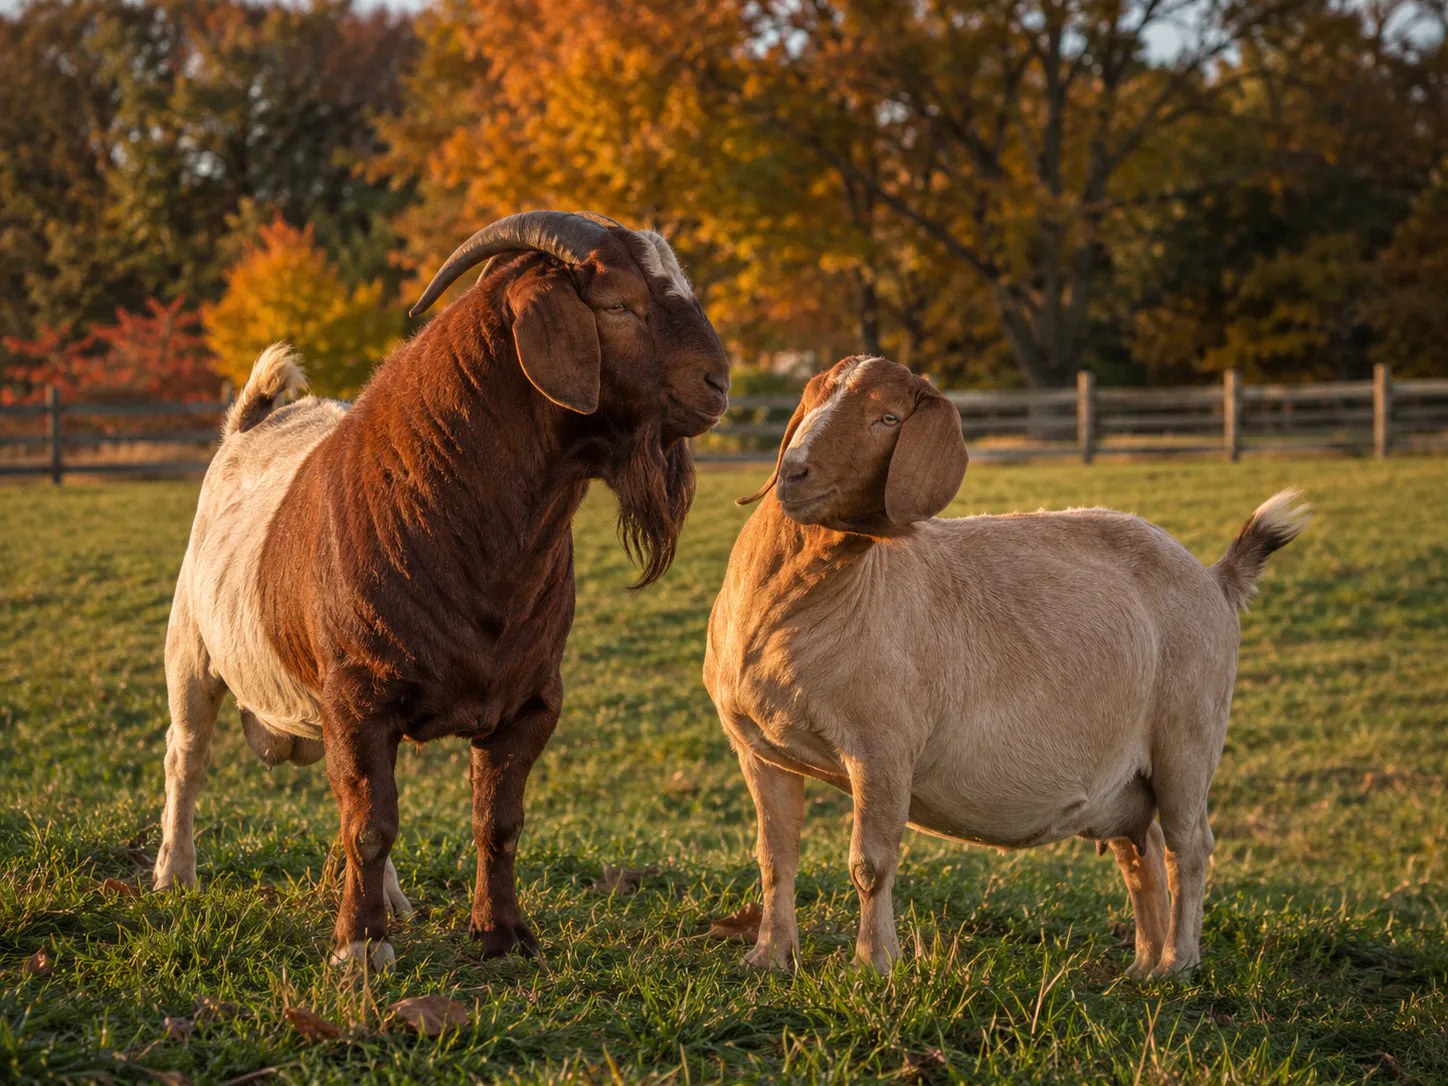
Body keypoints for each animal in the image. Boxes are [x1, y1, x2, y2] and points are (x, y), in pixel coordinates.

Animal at [154, 211, 730, 970]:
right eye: (618, 305)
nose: (720, 383)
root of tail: (248, 424)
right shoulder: (357, 697)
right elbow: (370, 824)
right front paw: (360, 949)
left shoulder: (529, 700)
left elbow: (497, 822)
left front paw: (504, 934)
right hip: (192, 650)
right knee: (186, 757)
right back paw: (175, 874)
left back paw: (395, 899)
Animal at [703, 355, 1309, 978]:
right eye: (811, 402)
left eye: (888, 418)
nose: (793, 473)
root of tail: (1216, 579)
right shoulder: (760, 750)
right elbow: (775, 858)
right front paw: (767, 958)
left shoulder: (882, 749)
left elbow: (870, 864)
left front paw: (873, 966)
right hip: (1123, 776)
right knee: (1141, 854)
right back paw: (1142, 965)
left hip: (1188, 734)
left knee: (1189, 846)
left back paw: (1177, 963)